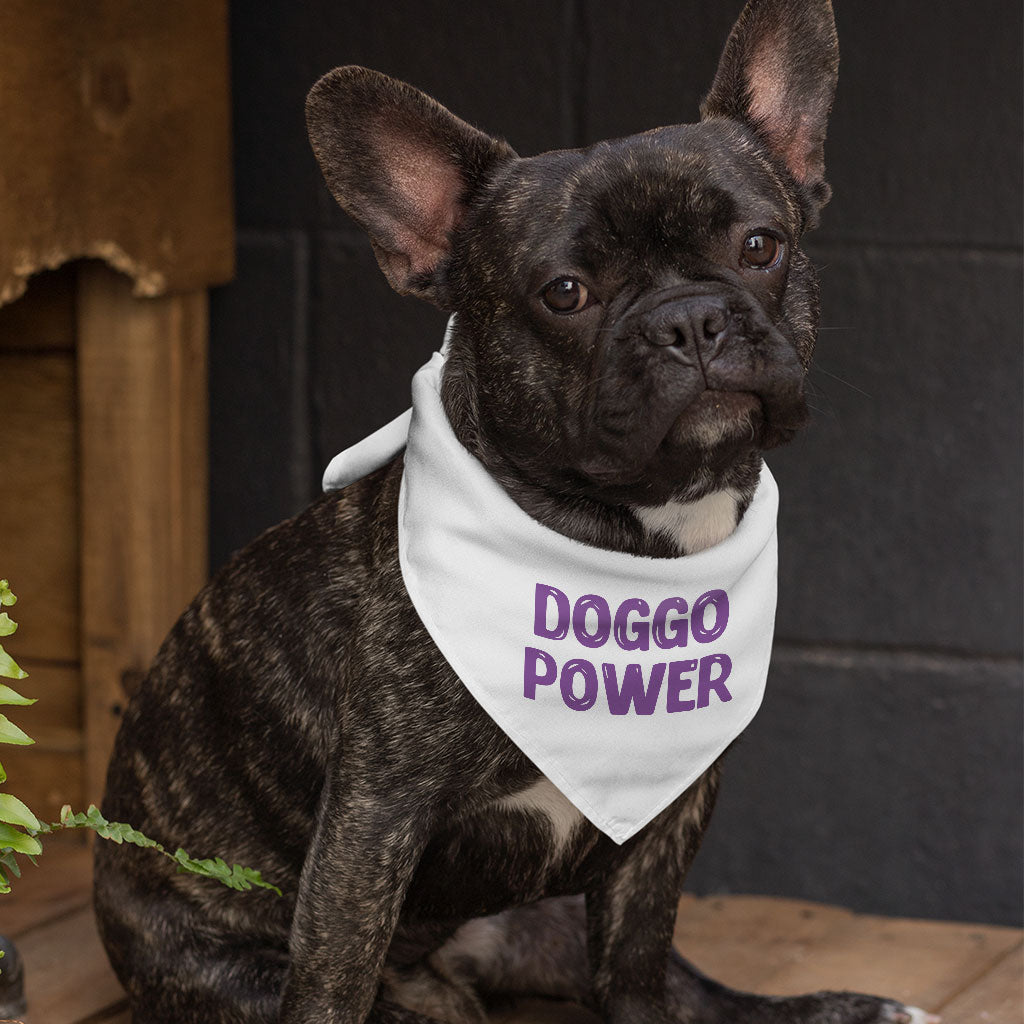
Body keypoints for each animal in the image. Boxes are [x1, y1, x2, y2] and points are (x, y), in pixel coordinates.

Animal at [94, 2, 937, 1024]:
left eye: (760, 246)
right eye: (564, 294)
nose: (690, 319)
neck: (628, 540)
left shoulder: (667, 815)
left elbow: (639, 966)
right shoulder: (371, 820)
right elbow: (332, 976)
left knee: (692, 991)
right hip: (224, 965)